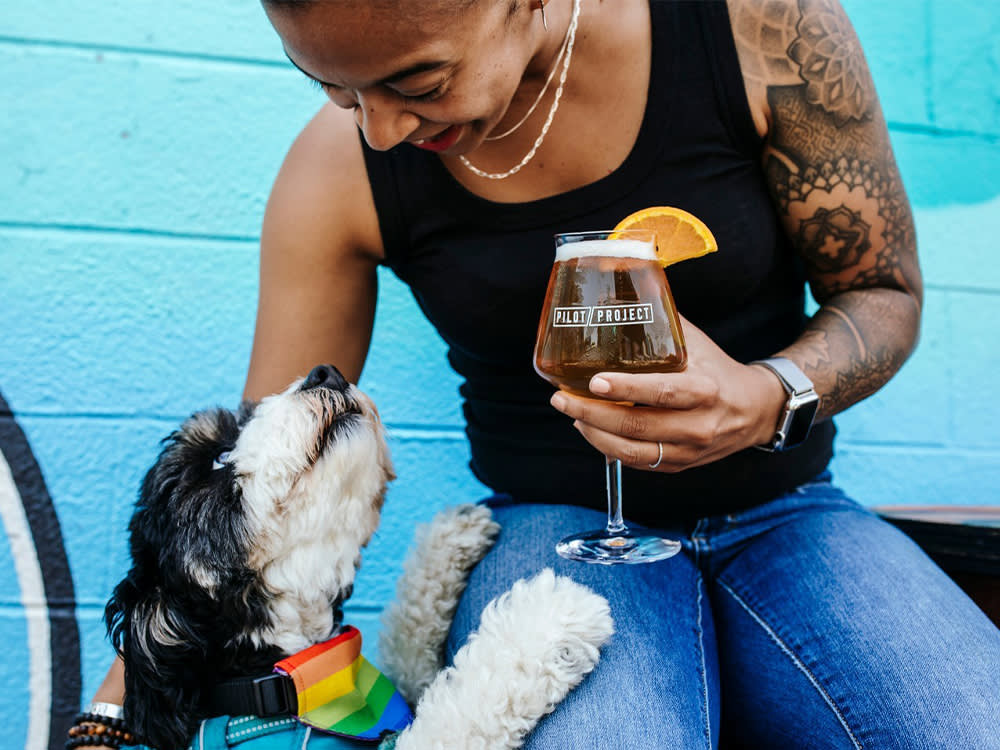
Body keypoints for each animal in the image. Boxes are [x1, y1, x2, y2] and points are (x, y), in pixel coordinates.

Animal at [105, 366, 612, 750]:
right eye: (218, 456)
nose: (324, 372)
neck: (278, 683)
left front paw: (448, 537)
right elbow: (461, 708)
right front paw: (547, 620)